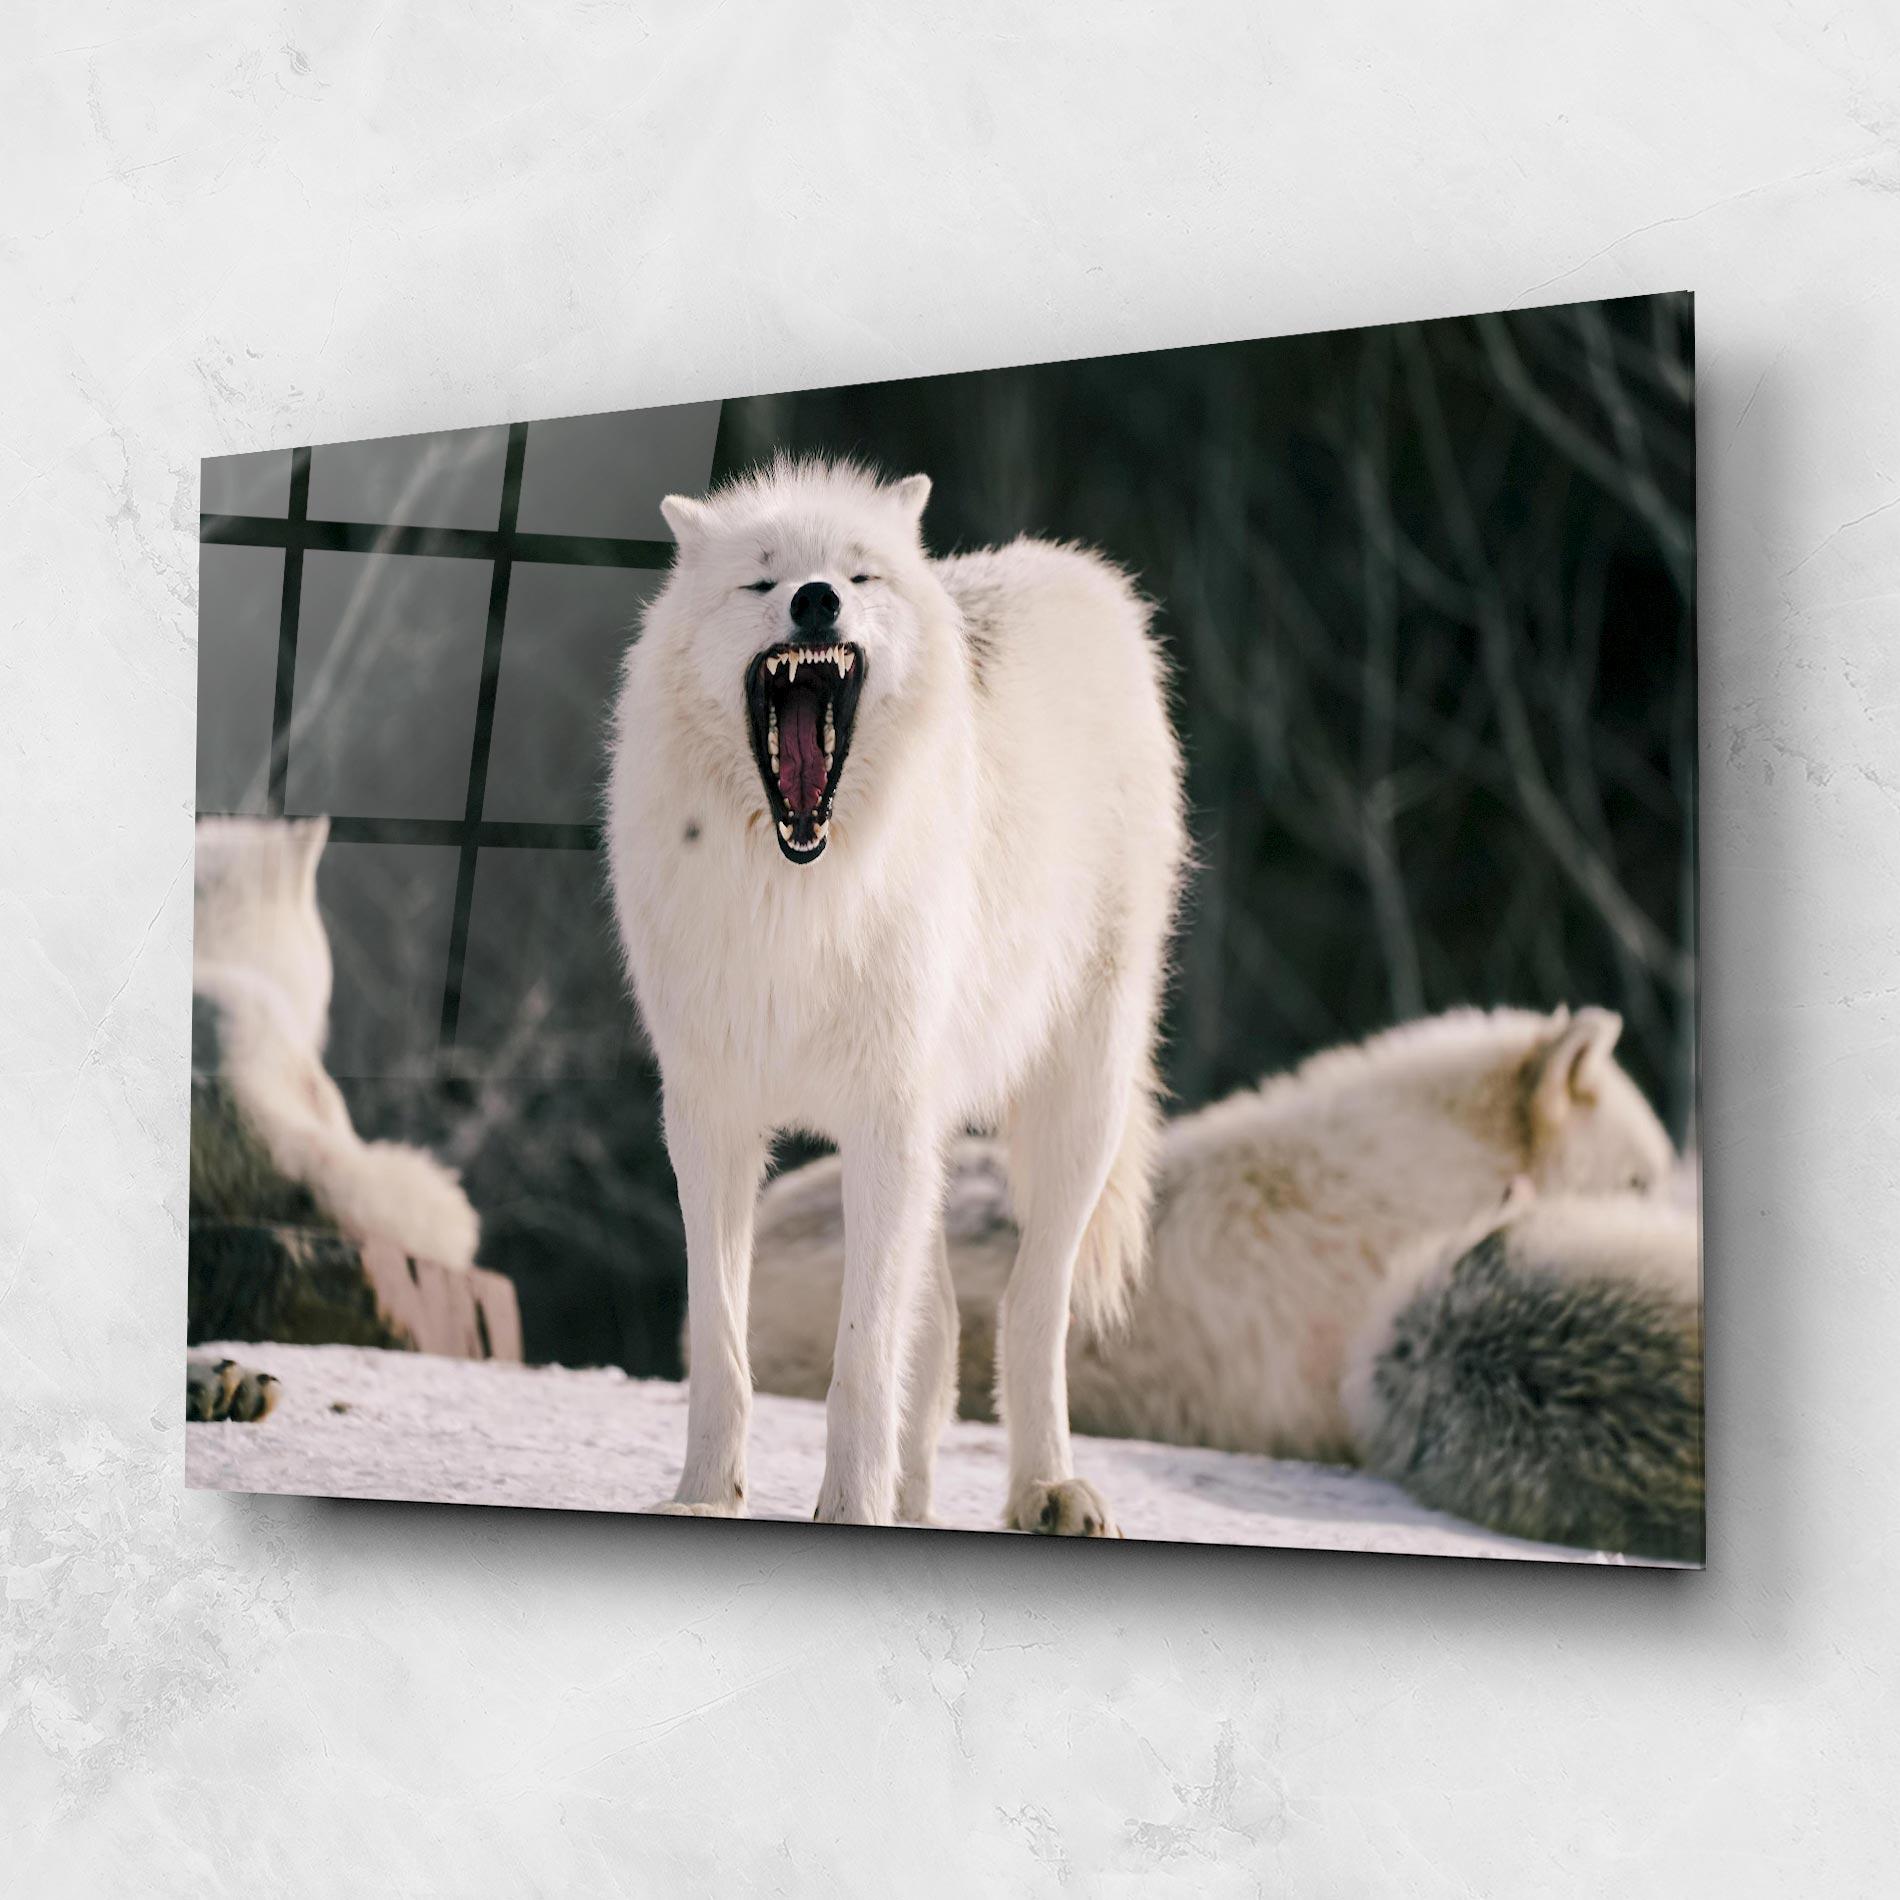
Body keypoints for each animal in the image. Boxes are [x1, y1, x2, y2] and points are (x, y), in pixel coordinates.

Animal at [606, 459, 1186, 1533]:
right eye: (761, 579)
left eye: (859, 575)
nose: (816, 600)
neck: (799, 894)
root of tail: (1074, 571)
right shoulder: (709, 1120)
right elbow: (721, 1346)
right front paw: (705, 1498)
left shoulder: (883, 1120)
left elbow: (861, 1359)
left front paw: (848, 1509)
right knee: (945, 1318)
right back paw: (916, 1503)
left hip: (1075, 1106)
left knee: (1031, 1309)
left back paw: (1047, 1489)